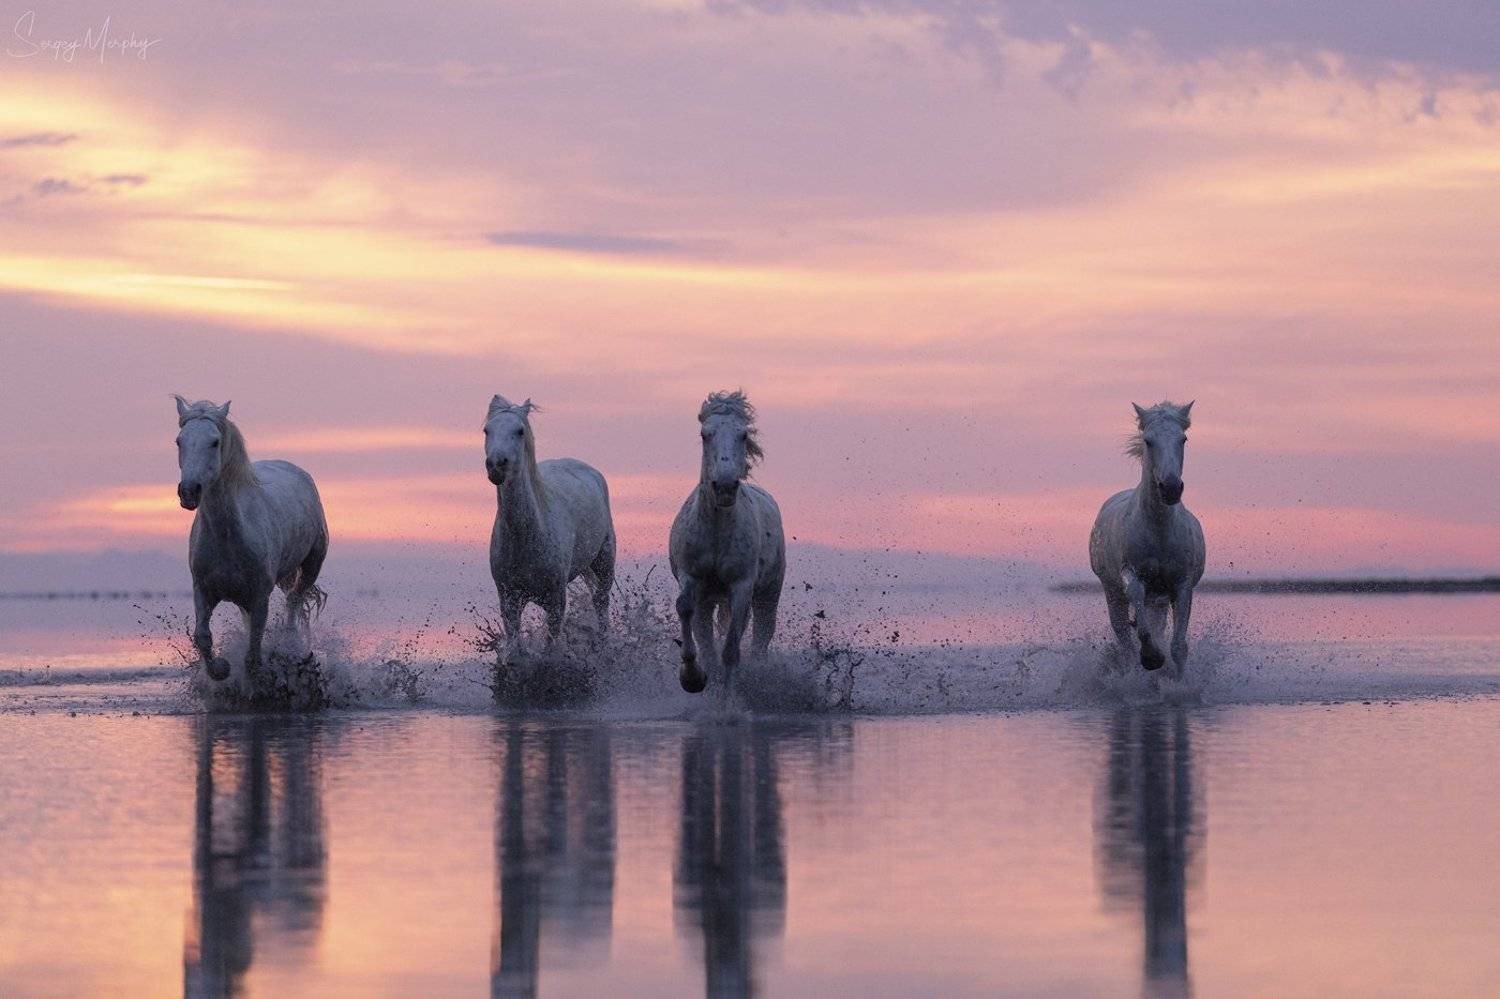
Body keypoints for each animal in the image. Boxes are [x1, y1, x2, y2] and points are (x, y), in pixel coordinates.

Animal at [174, 396, 329, 688]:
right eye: (180, 440)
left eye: (214, 442)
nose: (189, 491)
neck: (229, 537)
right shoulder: (203, 590)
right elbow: (203, 637)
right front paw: (221, 670)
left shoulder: (259, 597)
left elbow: (253, 655)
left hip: (312, 565)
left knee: (294, 601)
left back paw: (290, 644)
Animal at [484, 394, 616, 661]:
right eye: (486, 430)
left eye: (520, 431)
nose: (496, 465)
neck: (528, 537)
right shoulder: (509, 599)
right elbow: (515, 648)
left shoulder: (556, 600)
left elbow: (552, 649)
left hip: (605, 560)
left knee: (601, 602)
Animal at [669, 391, 786, 695]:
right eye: (704, 434)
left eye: (743, 434)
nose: (724, 486)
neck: (717, 531)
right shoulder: (691, 577)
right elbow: (685, 609)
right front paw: (692, 678)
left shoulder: (742, 586)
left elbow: (732, 650)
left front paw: (728, 700)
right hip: (710, 598)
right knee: (706, 636)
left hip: (768, 594)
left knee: (761, 636)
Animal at [1089, 401, 1205, 676]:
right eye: (1148, 440)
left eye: (1183, 439)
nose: (1170, 488)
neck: (1159, 531)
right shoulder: (1132, 575)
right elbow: (1139, 619)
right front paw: (1152, 658)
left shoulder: (1182, 584)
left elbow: (1178, 647)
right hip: (1112, 592)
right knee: (1123, 637)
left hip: (1159, 599)